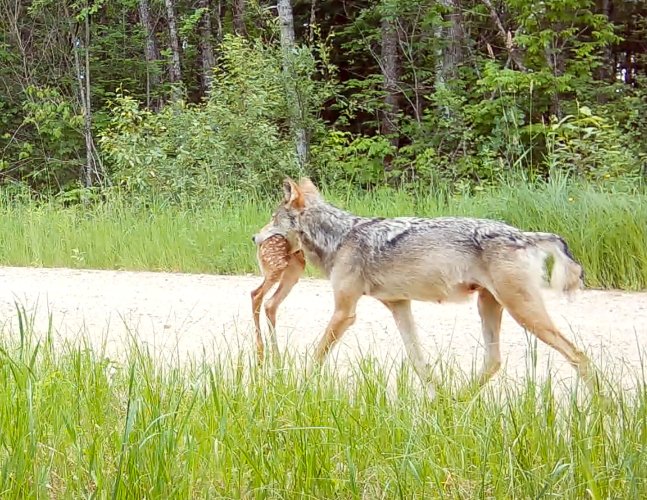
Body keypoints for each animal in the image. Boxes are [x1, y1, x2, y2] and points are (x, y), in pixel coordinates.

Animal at [254, 177, 595, 397]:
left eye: (272, 218)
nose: (254, 237)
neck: (340, 237)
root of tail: (524, 235)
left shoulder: (344, 312)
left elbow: (316, 355)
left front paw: (299, 386)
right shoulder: (399, 305)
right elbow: (419, 360)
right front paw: (434, 398)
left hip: (524, 313)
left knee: (579, 355)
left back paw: (600, 407)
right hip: (489, 307)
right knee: (494, 361)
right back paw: (456, 400)